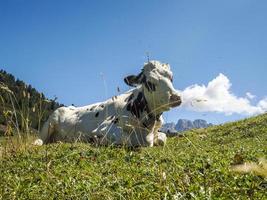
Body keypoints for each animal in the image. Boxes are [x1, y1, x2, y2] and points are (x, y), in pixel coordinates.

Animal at [35, 61, 182, 147]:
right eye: (149, 82)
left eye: (171, 78)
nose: (176, 97)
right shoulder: (104, 128)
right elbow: (126, 139)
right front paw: (97, 140)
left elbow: (163, 138)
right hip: (50, 122)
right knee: (41, 139)